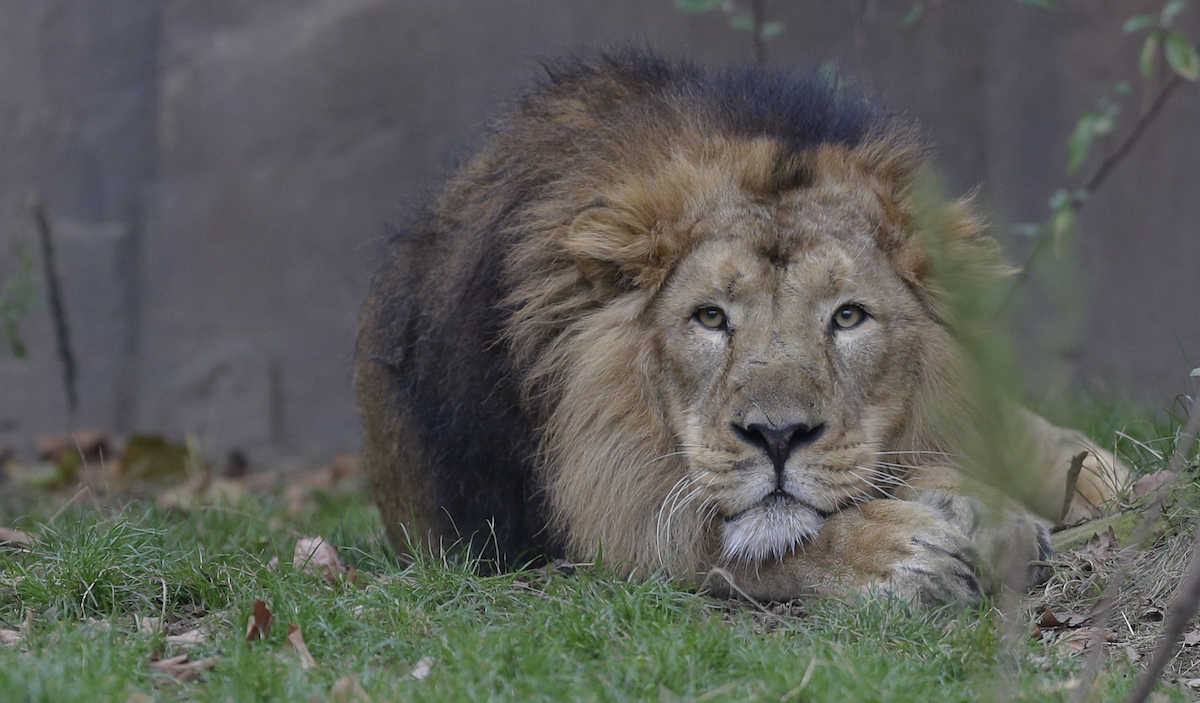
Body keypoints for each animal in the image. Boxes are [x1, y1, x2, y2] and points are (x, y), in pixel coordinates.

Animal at [352, 53, 1123, 602]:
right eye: (710, 317)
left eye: (848, 316)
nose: (777, 436)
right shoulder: (601, 506)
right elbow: (738, 545)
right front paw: (905, 550)